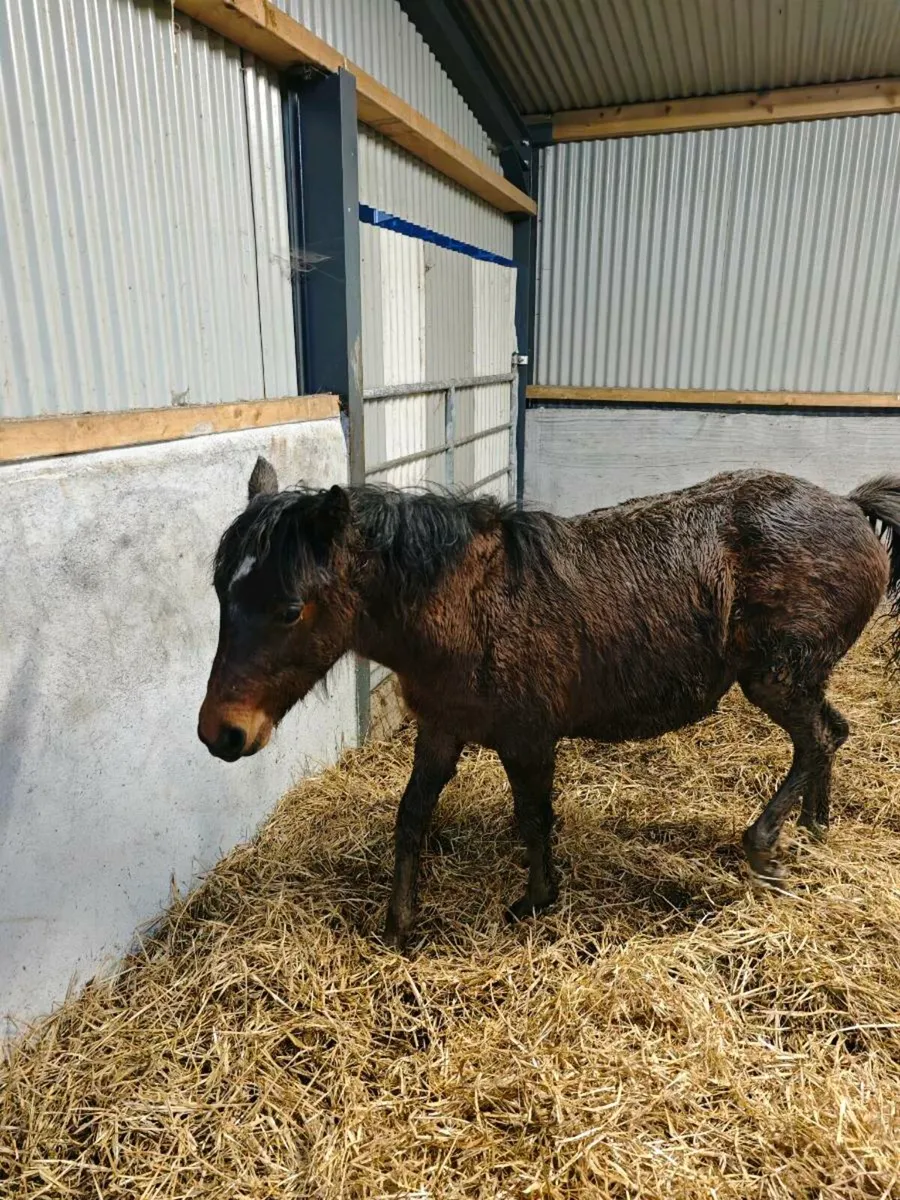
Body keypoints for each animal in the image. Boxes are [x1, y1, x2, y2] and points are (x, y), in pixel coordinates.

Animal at [198, 457, 900, 949]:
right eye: (221, 593)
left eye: (291, 608)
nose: (221, 734)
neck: (465, 608)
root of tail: (848, 505)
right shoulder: (441, 728)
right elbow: (412, 817)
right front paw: (399, 924)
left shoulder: (529, 739)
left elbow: (534, 818)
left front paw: (535, 900)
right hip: (800, 678)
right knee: (832, 732)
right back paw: (812, 827)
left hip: (777, 678)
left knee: (818, 739)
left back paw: (764, 847)